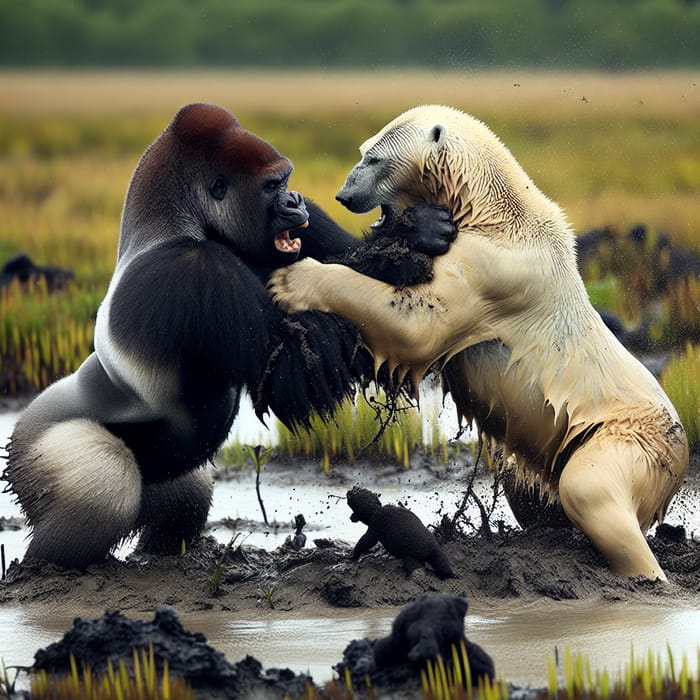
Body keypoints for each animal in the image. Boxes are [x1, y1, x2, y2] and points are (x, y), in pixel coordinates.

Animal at [2, 101, 454, 568]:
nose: (294, 200)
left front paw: (403, 240)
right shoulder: (195, 270)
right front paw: (410, 239)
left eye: (287, 182)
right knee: (105, 483)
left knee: (184, 496)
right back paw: (44, 566)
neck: (178, 220)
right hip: (33, 446)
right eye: (273, 185)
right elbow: (294, 367)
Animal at [272, 106, 688, 584]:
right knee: (534, 486)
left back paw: (646, 574)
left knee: (592, 490)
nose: (344, 194)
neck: (490, 209)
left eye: (374, 158)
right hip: (564, 441)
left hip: (634, 441)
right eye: (362, 150)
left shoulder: (495, 269)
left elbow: (418, 325)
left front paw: (291, 279)